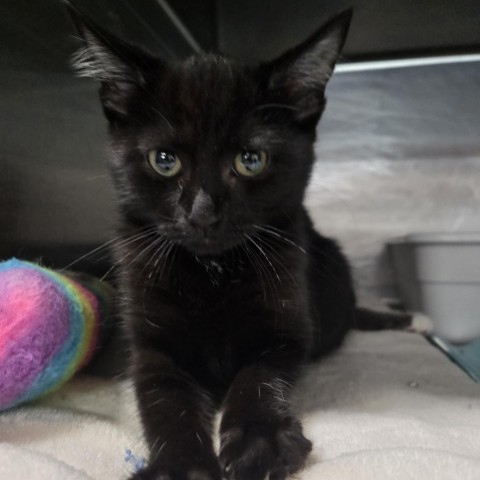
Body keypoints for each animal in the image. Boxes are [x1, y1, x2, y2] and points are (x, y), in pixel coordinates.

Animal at [69, 4, 356, 480]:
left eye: (250, 160)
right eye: (164, 161)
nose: (202, 213)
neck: (212, 271)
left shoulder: (285, 332)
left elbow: (258, 376)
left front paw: (260, 440)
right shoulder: (151, 347)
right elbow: (165, 401)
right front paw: (181, 466)